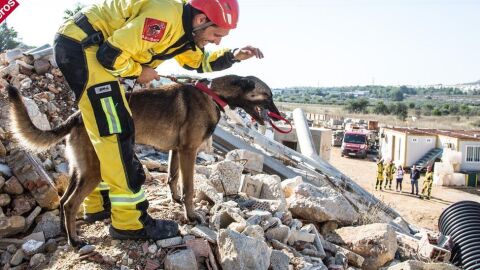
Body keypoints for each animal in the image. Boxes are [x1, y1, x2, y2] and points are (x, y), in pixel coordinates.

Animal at [8, 74, 282, 247]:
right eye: (268, 96)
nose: (280, 118)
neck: (214, 94)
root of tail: (76, 116)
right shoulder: (189, 152)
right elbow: (189, 187)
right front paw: (191, 215)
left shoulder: (176, 151)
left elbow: (172, 177)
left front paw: (176, 200)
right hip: (95, 171)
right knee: (70, 204)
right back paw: (74, 241)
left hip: (81, 169)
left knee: (64, 200)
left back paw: (66, 232)